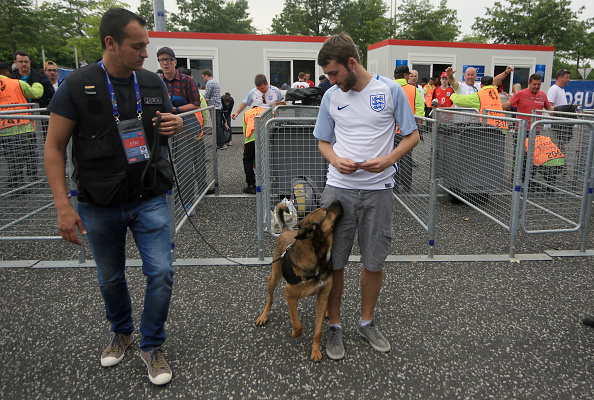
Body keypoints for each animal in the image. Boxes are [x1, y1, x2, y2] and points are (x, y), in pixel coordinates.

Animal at [254, 200, 342, 362]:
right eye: (326, 212)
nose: (338, 201)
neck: (318, 259)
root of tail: (286, 230)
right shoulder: (289, 295)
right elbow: (297, 325)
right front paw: (295, 334)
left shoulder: (322, 295)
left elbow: (318, 330)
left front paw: (315, 351)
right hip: (273, 278)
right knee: (270, 298)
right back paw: (263, 316)